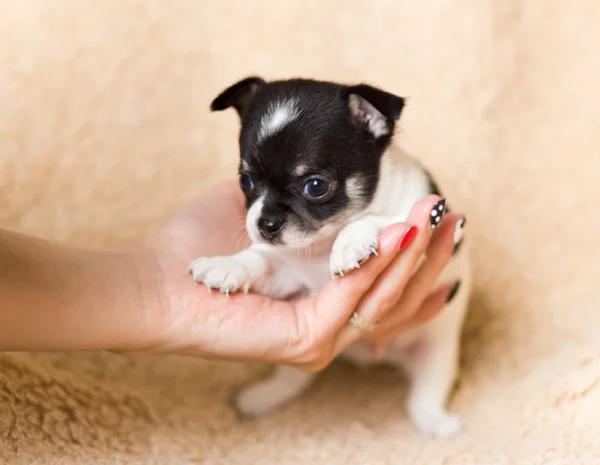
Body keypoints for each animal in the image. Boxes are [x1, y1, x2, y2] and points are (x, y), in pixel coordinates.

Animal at [190, 75, 472, 436]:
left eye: (315, 186)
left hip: (437, 352)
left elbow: (381, 219)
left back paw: (437, 423)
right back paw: (261, 398)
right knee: (292, 380)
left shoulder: (429, 226)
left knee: (426, 393)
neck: (321, 243)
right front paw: (224, 266)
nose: (265, 224)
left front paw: (350, 243)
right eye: (246, 180)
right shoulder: (284, 273)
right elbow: (258, 260)